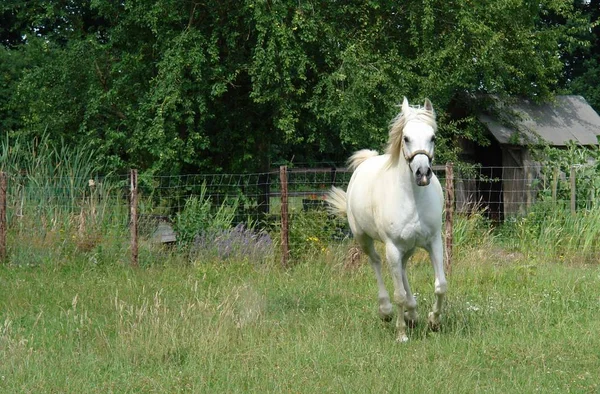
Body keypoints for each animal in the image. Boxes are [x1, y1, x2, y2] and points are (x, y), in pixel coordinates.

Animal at [328, 97, 446, 342]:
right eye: (406, 138)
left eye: (433, 137)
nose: (422, 173)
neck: (413, 198)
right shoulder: (392, 246)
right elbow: (398, 293)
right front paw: (401, 334)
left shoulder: (434, 242)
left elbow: (441, 285)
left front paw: (434, 321)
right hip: (365, 239)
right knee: (376, 262)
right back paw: (387, 311)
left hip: (408, 247)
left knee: (402, 268)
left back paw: (412, 313)